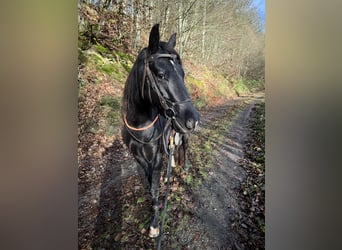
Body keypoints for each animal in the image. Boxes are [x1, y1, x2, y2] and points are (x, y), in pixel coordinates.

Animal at [121, 24, 199, 237]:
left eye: (183, 74)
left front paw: (155, 224)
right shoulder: (139, 160)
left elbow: (154, 189)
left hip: (184, 134)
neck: (140, 126)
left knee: (184, 148)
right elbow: (149, 186)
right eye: (161, 75)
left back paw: (185, 168)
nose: (193, 120)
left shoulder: (155, 159)